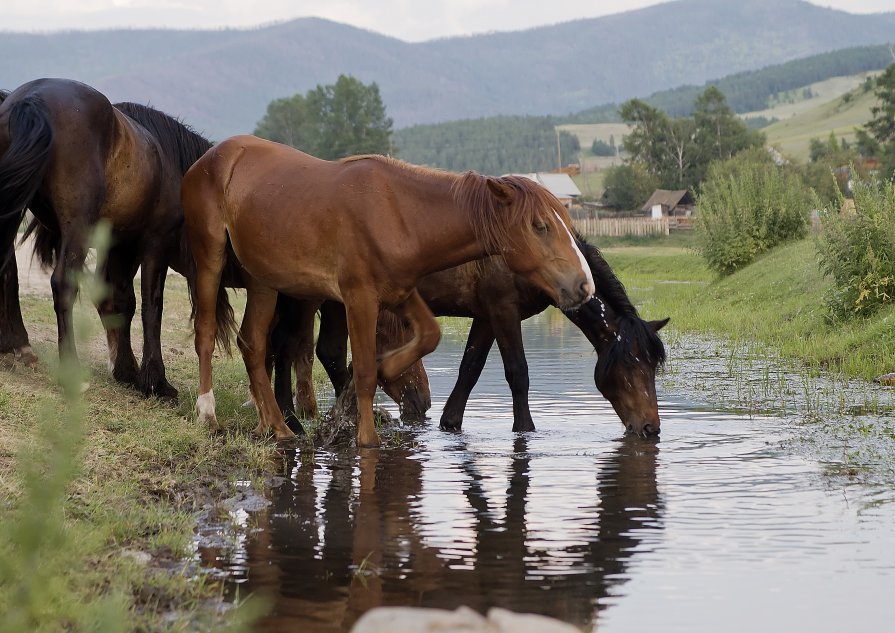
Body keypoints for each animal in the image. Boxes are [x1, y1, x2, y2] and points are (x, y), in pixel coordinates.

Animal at [0, 78, 212, 396]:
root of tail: (32, 98)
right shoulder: (155, 243)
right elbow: (152, 307)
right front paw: (156, 381)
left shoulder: (119, 246)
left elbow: (120, 301)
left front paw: (127, 370)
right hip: (77, 226)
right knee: (63, 283)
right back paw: (71, 370)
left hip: (13, 208)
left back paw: (14, 347)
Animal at [181, 136, 596, 446]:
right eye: (540, 225)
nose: (583, 285)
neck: (400, 214)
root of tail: (213, 156)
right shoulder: (359, 299)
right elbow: (363, 370)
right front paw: (366, 438)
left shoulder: (401, 293)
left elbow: (429, 336)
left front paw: (389, 368)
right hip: (211, 258)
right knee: (206, 333)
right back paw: (208, 414)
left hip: (263, 280)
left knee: (252, 343)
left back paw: (277, 426)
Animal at [280, 233, 664, 440]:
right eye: (630, 366)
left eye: (653, 367)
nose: (651, 428)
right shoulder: (504, 310)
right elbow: (518, 373)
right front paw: (525, 429)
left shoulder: (485, 316)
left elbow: (471, 368)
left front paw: (450, 423)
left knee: (321, 351)